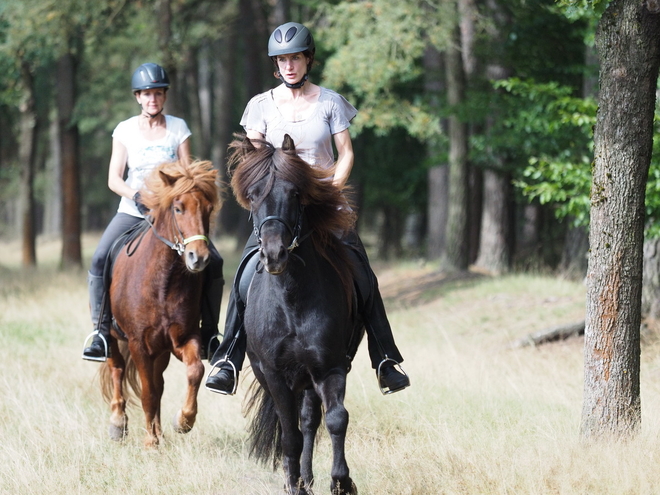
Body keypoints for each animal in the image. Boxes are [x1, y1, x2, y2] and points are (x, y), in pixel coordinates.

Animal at [99, 160, 219, 450]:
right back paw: (118, 423)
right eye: (178, 208)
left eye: (208, 209)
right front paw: (150, 442)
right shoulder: (138, 343)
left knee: (159, 382)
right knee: (118, 370)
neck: (164, 282)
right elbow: (148, 393)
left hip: (160, 351)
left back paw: (160, 431)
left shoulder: (183, 338)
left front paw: (183, 421)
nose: (198, 258)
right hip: (112, 335)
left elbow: (194, 371)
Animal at [228, 135, 364, 495]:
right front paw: (294, 485)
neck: (291, 300)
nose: (274, 254)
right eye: (252, 195)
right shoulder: (274, 374)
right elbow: (289, 434)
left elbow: (335, 419)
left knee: (310, 420)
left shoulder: (328, 366)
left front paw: (341, 482)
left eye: (295, 193)